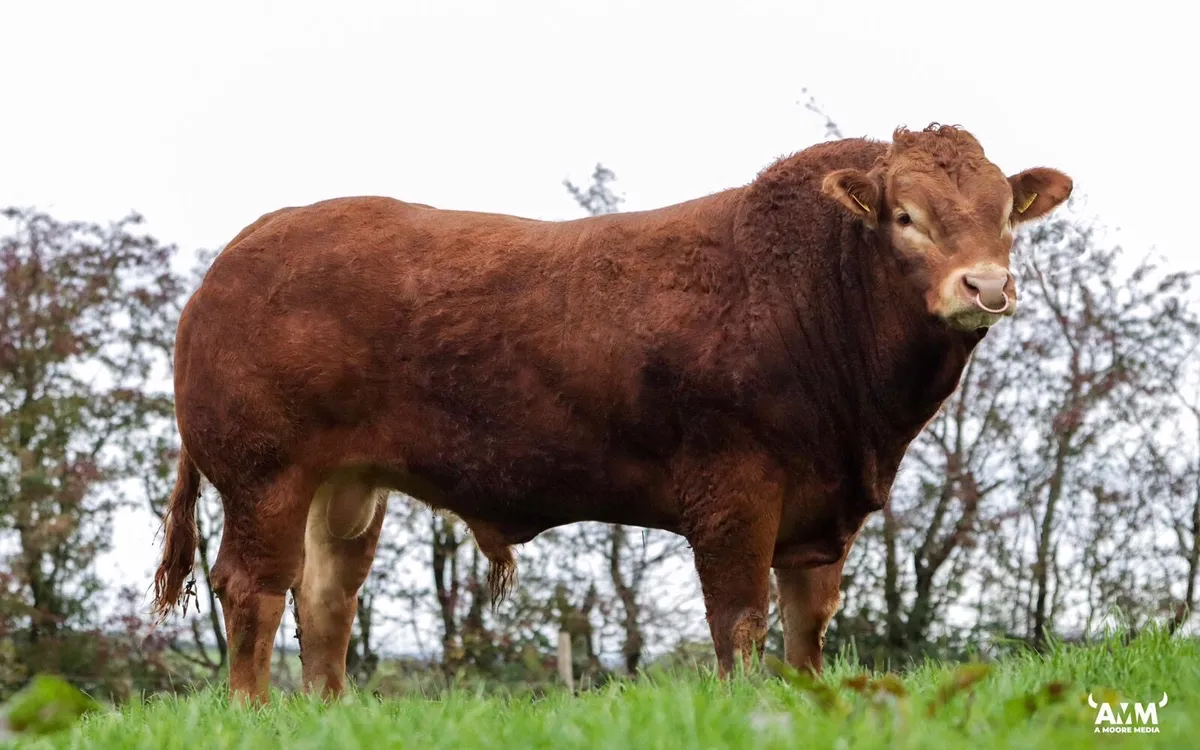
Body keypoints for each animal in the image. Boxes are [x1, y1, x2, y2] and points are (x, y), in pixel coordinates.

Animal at [151, 123, 1072, 703]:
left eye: (1005, 216)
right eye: (906, 217)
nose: (986, 287)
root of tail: (235, 256)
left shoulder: (823, 509)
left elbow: (809, 627)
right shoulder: (734, 492)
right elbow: (739, 619)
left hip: (344, 485)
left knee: (325, 598)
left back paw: (327, 711)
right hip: (266, 474)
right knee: (253, 589)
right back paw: (252, 711)